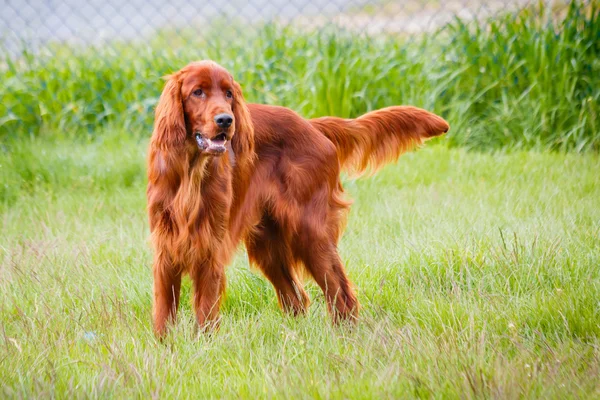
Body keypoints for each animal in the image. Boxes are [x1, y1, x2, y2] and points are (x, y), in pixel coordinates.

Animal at [145, 60, 448, 334]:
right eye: (197, 92)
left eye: (228, 93)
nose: (225, 120)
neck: (191, 170)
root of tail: (312, 126)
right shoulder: (166, 248)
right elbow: (163, 310)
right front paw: (165, 347)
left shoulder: (209, 246)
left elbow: (206, 309)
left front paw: (206, 346)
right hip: (268, 243)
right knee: (296, 300)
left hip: (309, 231)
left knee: (340, 292)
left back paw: (343, 337)